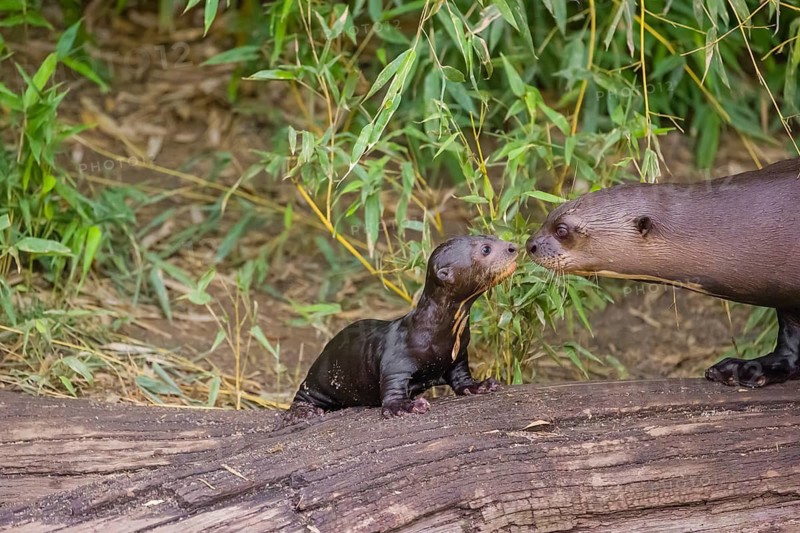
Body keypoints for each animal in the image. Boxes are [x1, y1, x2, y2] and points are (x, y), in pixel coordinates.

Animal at [283, 235, 518, 424]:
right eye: (486, 249)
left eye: (492, 236)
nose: (513, 247)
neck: (433, 333)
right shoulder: (396, 361)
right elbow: (391, 389)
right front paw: (405, 406)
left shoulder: (458, 356)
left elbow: (462, 378)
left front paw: (481, 385)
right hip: (321, 374)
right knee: (303, 391)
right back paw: (303, 412)